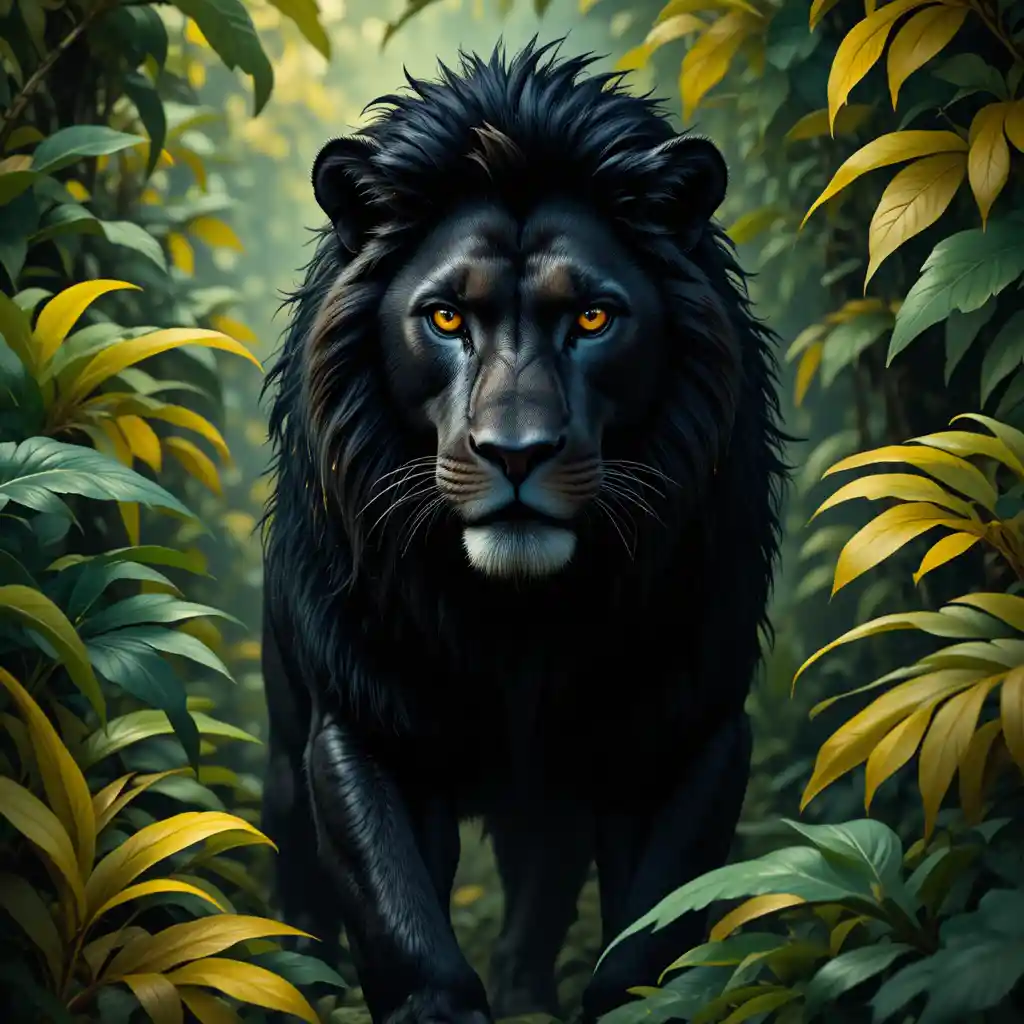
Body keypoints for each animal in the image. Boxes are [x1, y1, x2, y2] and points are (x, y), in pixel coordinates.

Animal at [260, 38, 786, 1024]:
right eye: (445, 318)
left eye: (592, 317)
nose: (516, 452)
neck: (519, 622)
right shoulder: (363, 723)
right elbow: (397, 915)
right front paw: (434, 1005)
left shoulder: (690, 733)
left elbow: (651, 929)